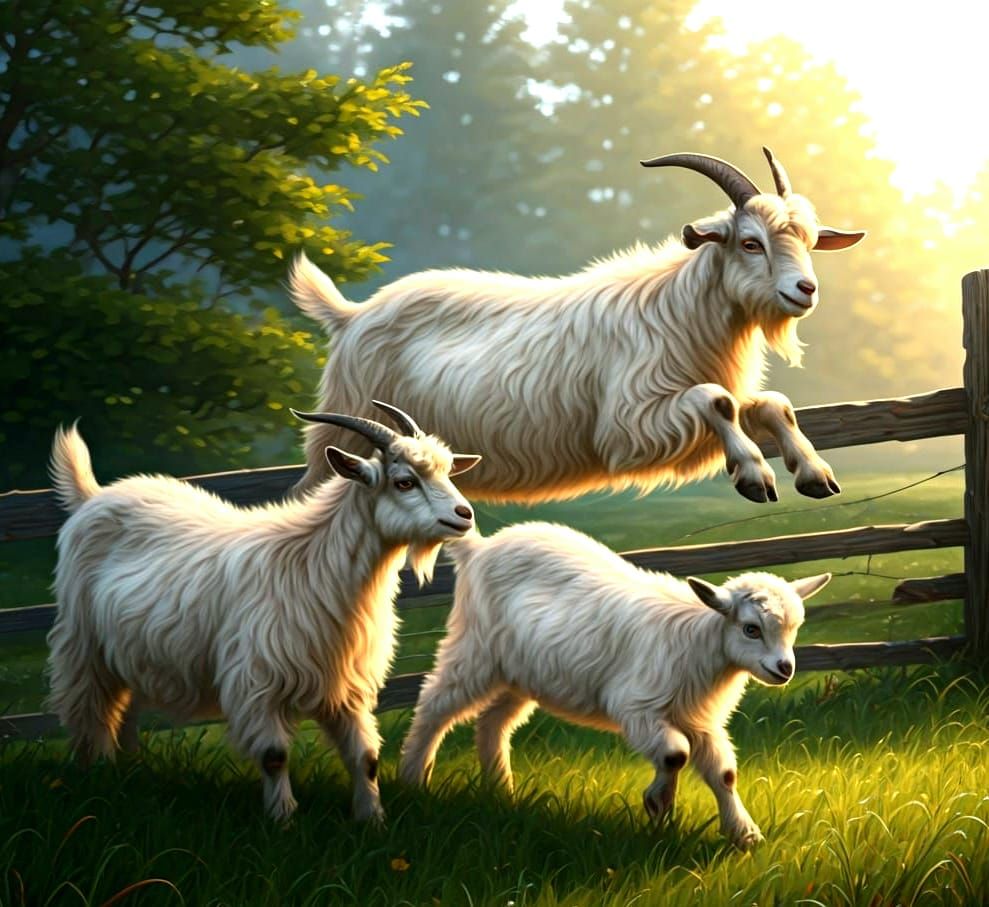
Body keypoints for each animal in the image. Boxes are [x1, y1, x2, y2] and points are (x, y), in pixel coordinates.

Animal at [46, 402, 481, 822]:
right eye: (404, 481)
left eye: (447, 471)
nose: (464, 514)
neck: (313, 564)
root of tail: (93, 496)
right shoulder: (256, 682)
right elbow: (274, 756)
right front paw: (282, 819)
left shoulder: (344, 684)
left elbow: (366, 758)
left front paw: (372, 819)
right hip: (83, 644)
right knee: (89, 712)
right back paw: (99, 774)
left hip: (133, 649)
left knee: (123, 709)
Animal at [288, 147, 864, 505]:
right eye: (750, 242)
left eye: (810, 242)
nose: (805, 290)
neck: (679, 310)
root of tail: (351, 314)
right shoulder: (627, 427)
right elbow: (717, 400)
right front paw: (754, 473)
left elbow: (770, 404)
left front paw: (816, 474)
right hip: (345, 429)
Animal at [399, 522, 829, 850]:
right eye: (751, 628)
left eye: (794, 628)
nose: (785, 669)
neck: (700, 640)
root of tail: (479, 547)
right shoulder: (637, 707)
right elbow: (675, 754)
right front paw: (658, 804)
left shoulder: (699, 719)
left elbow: (722, 774)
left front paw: (744, 834)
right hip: (476, 651)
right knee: (434, 704)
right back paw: (413, 778)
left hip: (520, 675)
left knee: (492, 723)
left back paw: (503, 791)